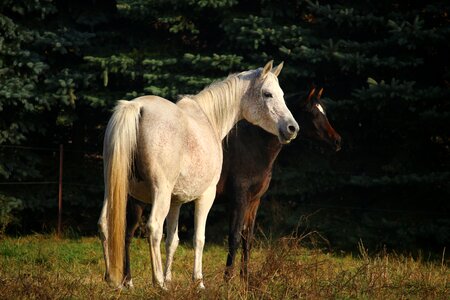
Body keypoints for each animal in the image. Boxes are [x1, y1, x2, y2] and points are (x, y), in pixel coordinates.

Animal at [97, 60, 298, 288]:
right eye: (267, 94)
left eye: (281, 94)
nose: (292, 128)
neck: (209, 119)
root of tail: (136, 108)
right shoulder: (206, 196)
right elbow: (199, 238)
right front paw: (198, 282)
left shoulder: (176, 202)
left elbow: (172, 240)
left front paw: (170, 278)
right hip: (156, 195)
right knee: (153, 228)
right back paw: (158, 283)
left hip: (115, 189)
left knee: (105, 225)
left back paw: (114, 280)